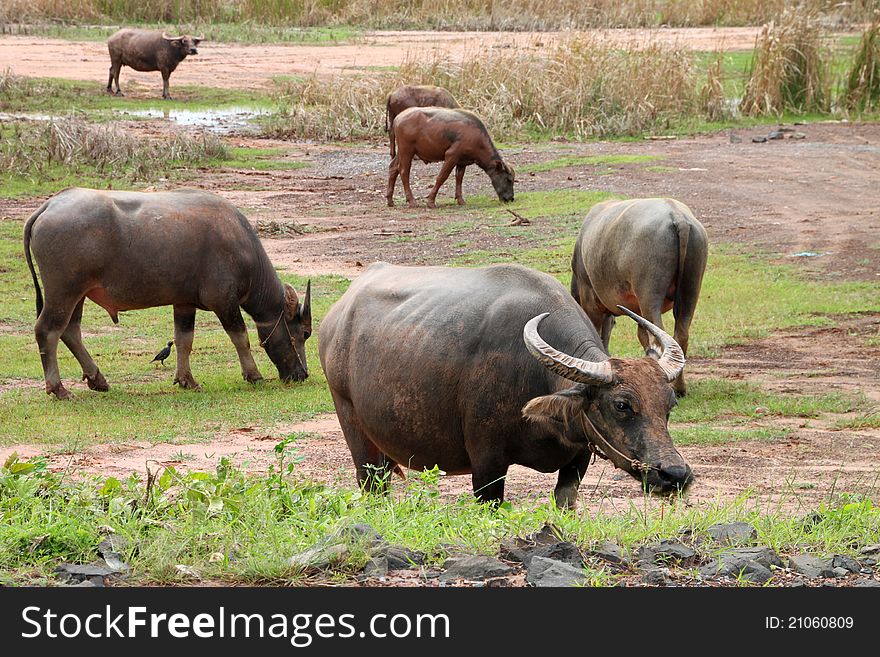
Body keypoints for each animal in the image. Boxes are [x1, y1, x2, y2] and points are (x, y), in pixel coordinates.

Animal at [23, 187, 312, 398]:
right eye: (303, 333)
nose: (302, 374)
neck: (241, 246)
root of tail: (50, 205)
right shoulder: (224, 302)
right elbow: (240, 337)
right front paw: (254, 375)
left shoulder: (184, 303)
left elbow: (184, 340)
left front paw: (186, 380)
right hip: (63, 291)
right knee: (48, 330)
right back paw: (58, 388)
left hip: (79, 294)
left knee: (70, 331)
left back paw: (97, 379)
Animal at [318, 262, 696, 508]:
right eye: (621, 405)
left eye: (669, 405)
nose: (675, 474)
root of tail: (337, 316)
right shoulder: (487, 464)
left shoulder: (578, 460)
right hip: (352, 424)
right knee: (370, 484)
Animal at [384, 106, 516, 208]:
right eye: (508, 180)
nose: (510, 198)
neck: (477, 138)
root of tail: (398, 118)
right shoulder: (451, 156)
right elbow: (442, 177)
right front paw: (431, 201)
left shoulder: (462, 162)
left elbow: (459, 179)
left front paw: (461, 200)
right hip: (407, 150)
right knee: (403, 171)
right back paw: (411, 201)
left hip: (402, 152)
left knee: (393, 168)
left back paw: (390, 200)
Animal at [572, 197, 708, 394]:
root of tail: (678, 217)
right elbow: (641, 334)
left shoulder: (590, 298)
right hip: (691, 288)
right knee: (681, 335)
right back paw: (679, 387)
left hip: (650, 295)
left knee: (659, 335)